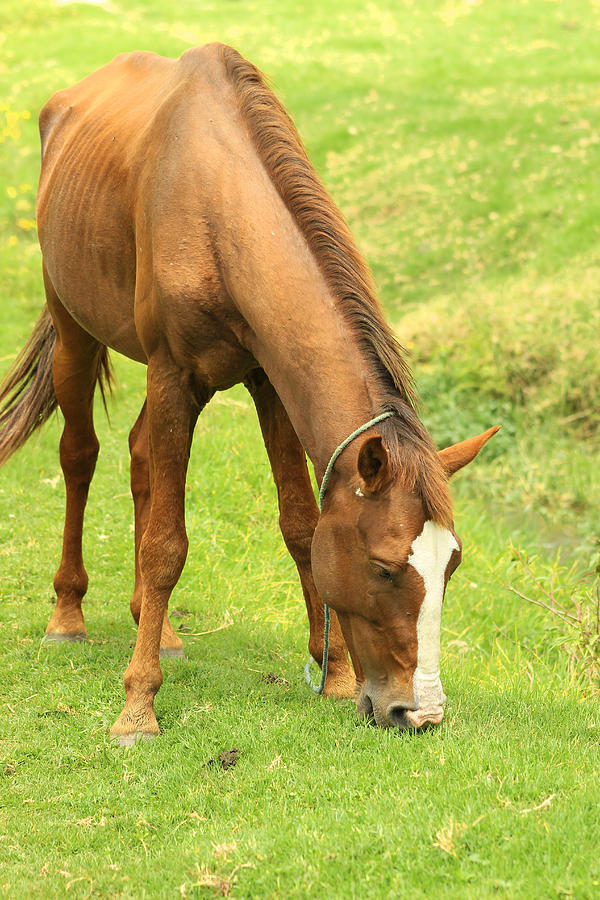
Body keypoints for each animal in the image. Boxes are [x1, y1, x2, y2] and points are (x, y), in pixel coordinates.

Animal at [0, 44, 496, 744]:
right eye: (383, 567)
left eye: (449, 566)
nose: (417, 712)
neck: (217, 210)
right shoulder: (172, 374)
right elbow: (166, 547)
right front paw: (138, 706)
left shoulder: (268, 381)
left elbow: (300, 525)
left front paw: (334, 677)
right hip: (74, 331)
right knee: (80, 454)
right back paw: (67, 615)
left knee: (141, 457)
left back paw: (160, 627)